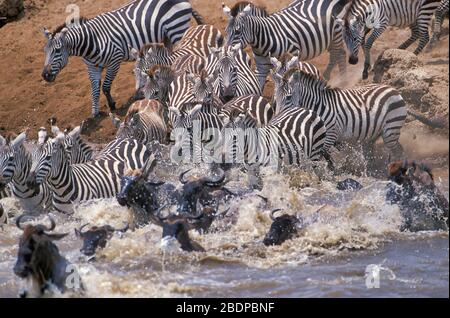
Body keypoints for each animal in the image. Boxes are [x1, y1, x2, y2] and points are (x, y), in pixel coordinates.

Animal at [42, 0, 204, 117]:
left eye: (57, 50)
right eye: (45, 51)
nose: (45, 75)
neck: (92, 41)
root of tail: (183, 1)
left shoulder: (115, 61)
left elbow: (106, 86)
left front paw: (112, 105)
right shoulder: (92, 67)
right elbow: (94, 90)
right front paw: (95, 112)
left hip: (178, 31)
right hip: (167, 36)